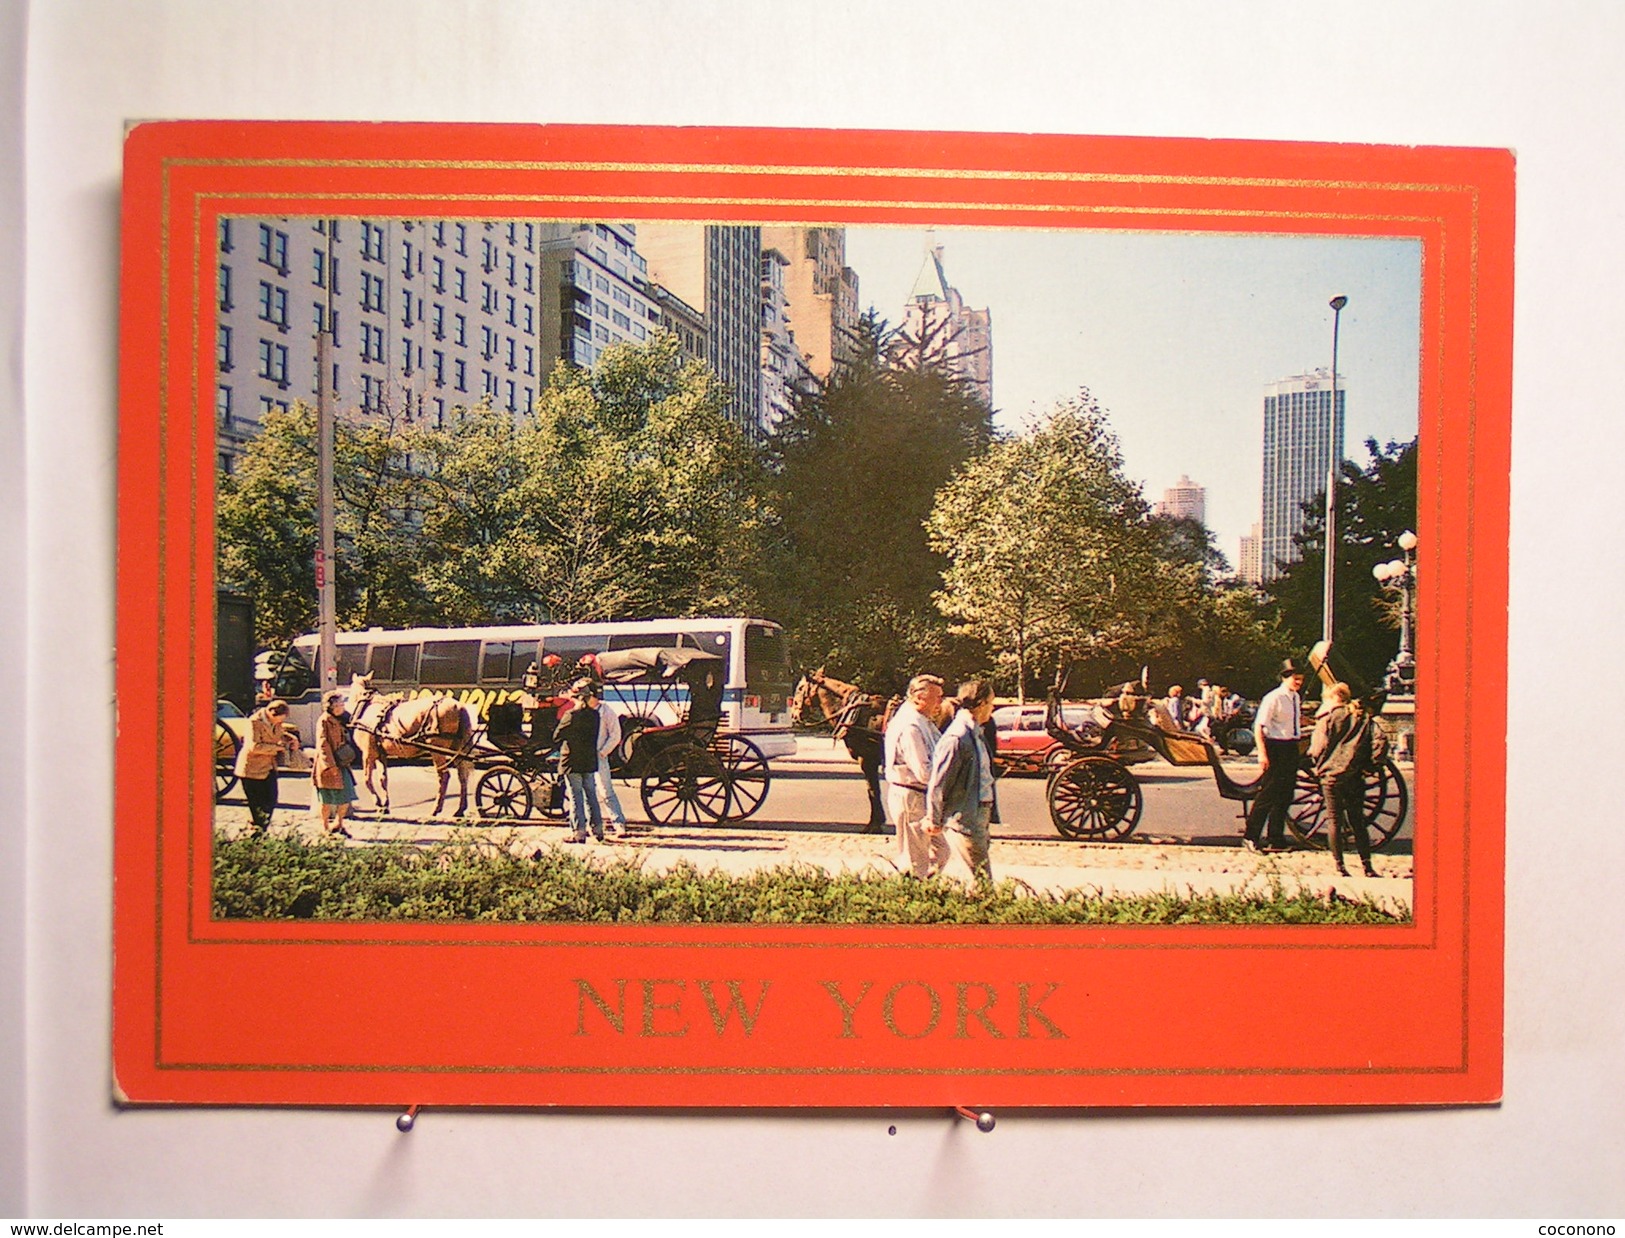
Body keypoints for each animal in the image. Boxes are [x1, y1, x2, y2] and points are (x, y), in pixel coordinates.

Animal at [341, 669, 474, 815]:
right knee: (462, 775)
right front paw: (385, 804)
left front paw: (378, 803)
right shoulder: (382, 754)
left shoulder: (368, 753)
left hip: (437, 750)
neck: (367, 708)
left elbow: (367, 779)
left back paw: (436, 808)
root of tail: (459, 706)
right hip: (457, 749)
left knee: (444, 776)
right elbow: (383, 779)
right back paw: (460, 809)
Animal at [789, 666, 903, 828]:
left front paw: (874, 824)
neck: (855, 713)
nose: (794, 715)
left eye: (800, 688)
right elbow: (873, 790)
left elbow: (872, 790)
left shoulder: (866, 760)